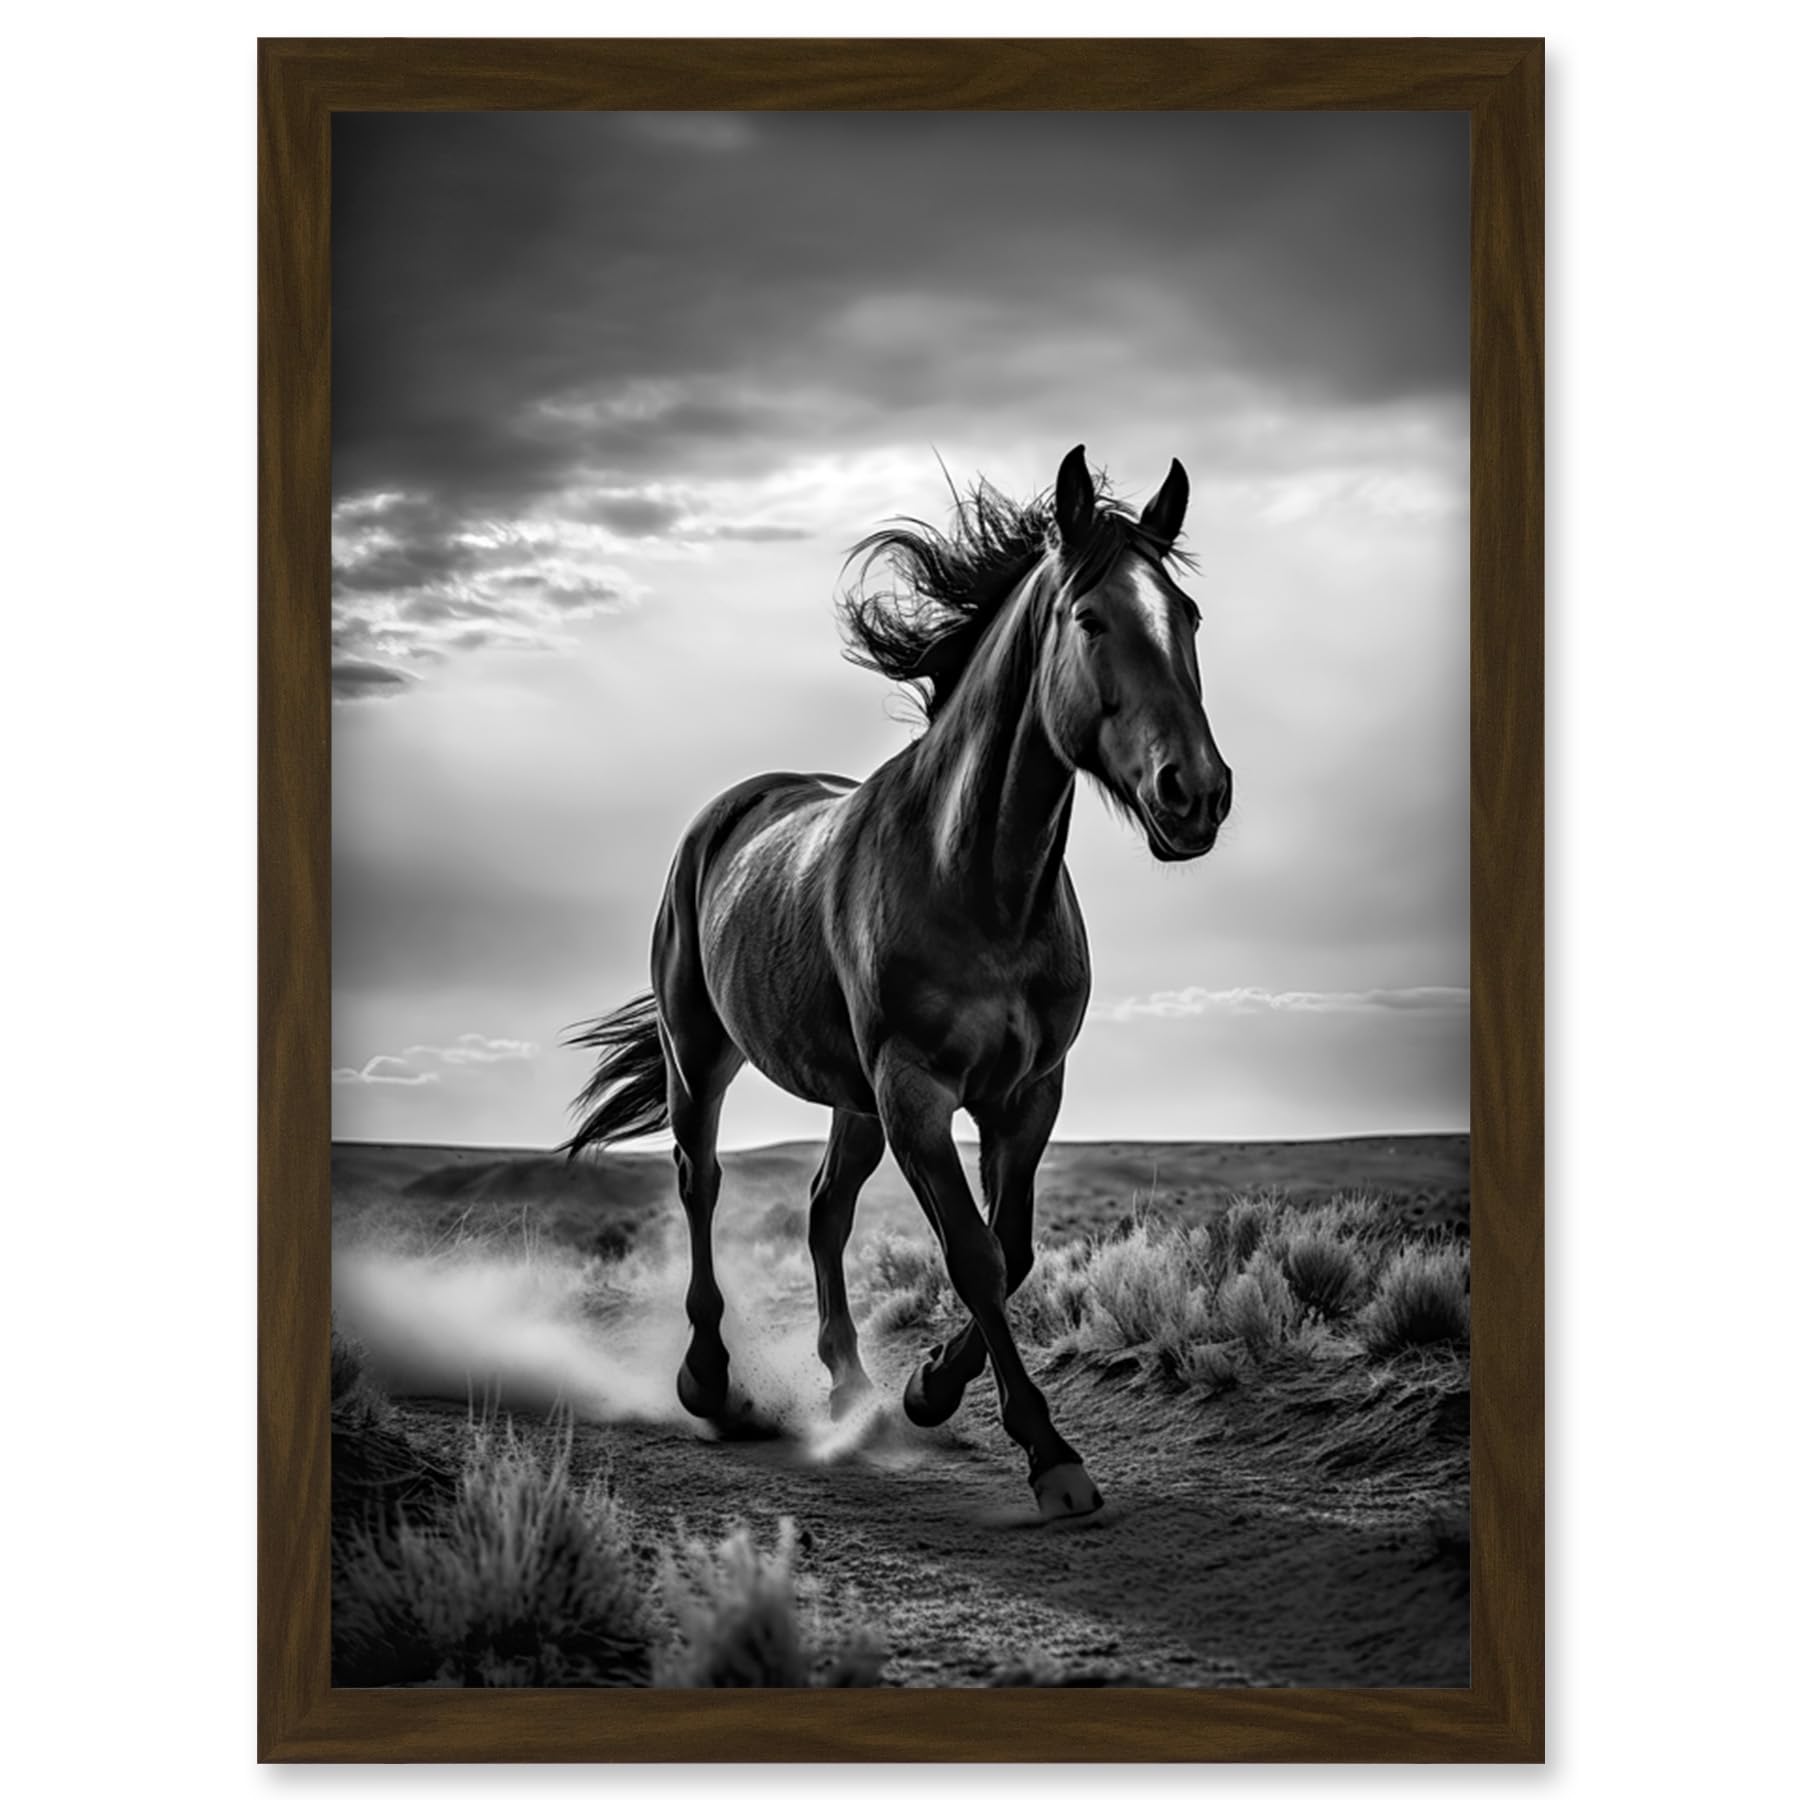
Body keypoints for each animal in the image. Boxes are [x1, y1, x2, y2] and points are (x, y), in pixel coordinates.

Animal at [565, 445, 1231, 1519]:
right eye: (1092, 619)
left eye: (1190, 617)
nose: (1197, 795)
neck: (980, 883)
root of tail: (726, 812)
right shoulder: (916, 1090)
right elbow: (973, 1255)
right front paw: (1048, 1452)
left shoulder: (1026, 1095)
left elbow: (1015, 1250)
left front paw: (927, 1389)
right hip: (702, 1056)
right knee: (701, 1182)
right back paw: (710, 1382)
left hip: (850, 1099)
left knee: (824, 1210)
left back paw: (853, 1391)